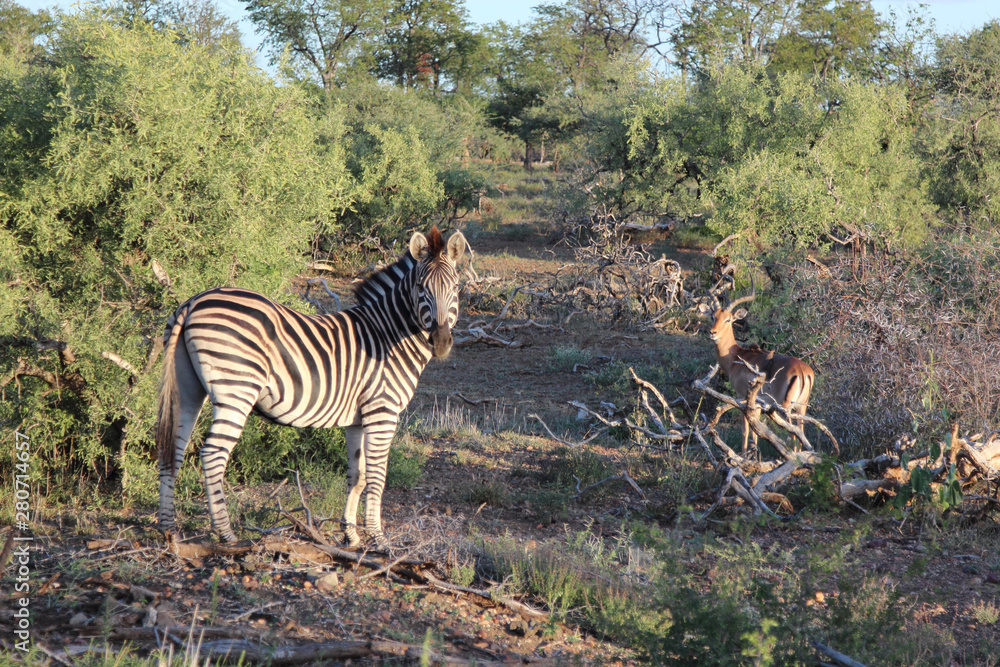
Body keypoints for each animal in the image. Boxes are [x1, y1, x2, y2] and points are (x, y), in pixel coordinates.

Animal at [155, 227, 467, 549]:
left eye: (456, 288)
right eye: (420, 288)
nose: (441, 342)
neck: (388, 335)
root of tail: (193, 301)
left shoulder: (357, 419)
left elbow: (357, 476)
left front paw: (351, 535)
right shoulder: (382, 411)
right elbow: (378, 476)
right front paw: (378, 538)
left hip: (188, 387)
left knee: (172, 449)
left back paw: (168, 528)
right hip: (237, 389)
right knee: (213, 455)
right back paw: (227, 534)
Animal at [708, 278, 814, 453]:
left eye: (728, 319)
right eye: (713, 316)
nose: (712, 333)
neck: (737, 356)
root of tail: (802, 371)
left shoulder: (742, 398)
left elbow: (745, 430)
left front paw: (744, 455)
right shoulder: (757, 405)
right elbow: (756, 433)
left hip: (785, 409)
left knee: (793, 436)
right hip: (801, 408)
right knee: (801, 436)